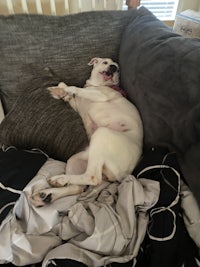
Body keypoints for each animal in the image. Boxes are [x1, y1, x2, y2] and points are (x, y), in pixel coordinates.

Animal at [30, 57, 142, 207]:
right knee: (77, 187)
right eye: (105, 62)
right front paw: (61, 92)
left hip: (102, 134)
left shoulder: (100, 95)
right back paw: (48, 194)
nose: (113, 67)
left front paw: (65, 88)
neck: (97, 85)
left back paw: (59, 180)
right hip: (77, 159)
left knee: (93, 177)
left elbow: (75, 88)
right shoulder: (77, 105)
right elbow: (70, 97)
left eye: (118, 69)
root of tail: (125, 174)